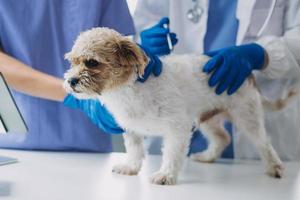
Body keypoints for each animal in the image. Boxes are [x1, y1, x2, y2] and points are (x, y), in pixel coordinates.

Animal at [62, 27, 294, 184]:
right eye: (72, 62)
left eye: (92, 62)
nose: (71, 81)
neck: (128, 91)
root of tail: (247, 72)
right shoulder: (131, 129)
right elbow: (135, 150)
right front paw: (131, 167)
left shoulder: (177, 128)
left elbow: (172, 153)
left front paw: (166, 175)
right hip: (208, 120)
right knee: (223, 137)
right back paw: (208, 157)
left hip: (247, 116)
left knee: (263, 142)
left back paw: (275, 167)